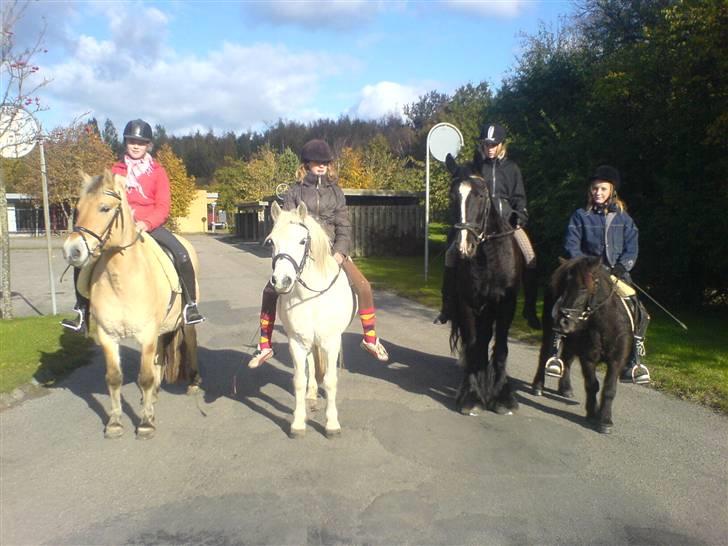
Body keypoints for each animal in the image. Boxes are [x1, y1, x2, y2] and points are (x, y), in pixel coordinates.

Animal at [61, 170, 199, 438]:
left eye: (105, 208)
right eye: (77, 208)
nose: (72, 250)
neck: (121, 280)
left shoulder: (146, 334)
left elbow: (144, 377)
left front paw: (145, 423)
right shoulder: (107, 335)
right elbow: (114, 378)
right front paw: (115, 422)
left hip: (185, 322)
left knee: (190, 343)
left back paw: (194, 384)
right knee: (159, 357)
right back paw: (153, 395)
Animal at [444, 159, 524, 414]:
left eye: (480, 195)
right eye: (452, 196)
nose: (464, 247)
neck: (488, 258)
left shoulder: (505, 305)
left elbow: (501, 348)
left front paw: (503, 396)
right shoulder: (468, 304)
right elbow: (472, 345)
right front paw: (472, 396)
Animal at [532, 256, 636, 434]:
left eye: (583, 288)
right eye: (564, 287)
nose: (562, 322)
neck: (604, 325)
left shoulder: (617, 359)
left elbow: (609, 388)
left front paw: (605, 420)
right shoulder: (588, 357)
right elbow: (592, 385)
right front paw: (593, 413)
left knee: (567, 360)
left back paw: (566, 389)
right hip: (549, 332)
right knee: (544, 355)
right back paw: (538, 386)